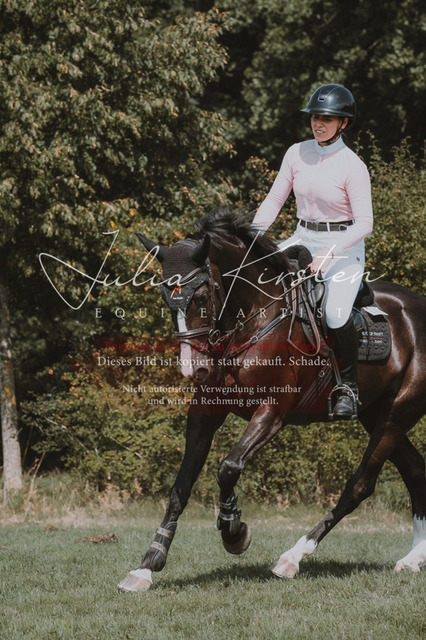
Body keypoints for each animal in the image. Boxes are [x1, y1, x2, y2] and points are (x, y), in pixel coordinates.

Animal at [118, 208, 426, 592]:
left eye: (201, 297)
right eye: (164, 298)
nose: (194, 369)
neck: (251, 318)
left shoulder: (272, 412)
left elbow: (228, 467)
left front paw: (233, 531)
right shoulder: (206, 411)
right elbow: (182, 484)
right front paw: (148, 563)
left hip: (397, 413)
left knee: (360, 486)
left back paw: (292, 557)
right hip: (378, 413)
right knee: (415, 471)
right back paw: (413, 559)